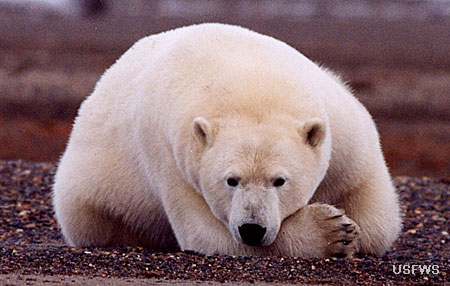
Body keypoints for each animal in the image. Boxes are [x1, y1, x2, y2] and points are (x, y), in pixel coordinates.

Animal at [51, 23, 400, 258]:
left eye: (279, 180)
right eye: (231, 180)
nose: (252, 229)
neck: (249, 82)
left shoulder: (343, 128)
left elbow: (375, 216)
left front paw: (351, 227)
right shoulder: (172, 156)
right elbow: (206, 234)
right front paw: (333, 232)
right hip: (90, 195)